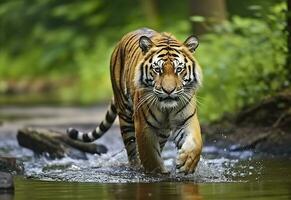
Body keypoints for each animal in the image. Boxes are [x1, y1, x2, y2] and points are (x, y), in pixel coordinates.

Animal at [67, 27, 203, 174]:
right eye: (157, 69)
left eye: (179, 69)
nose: (168, 91)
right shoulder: (144, 126)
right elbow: (151, 156)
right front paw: (158, 172)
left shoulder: (186, 120)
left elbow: (196, 143)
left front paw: (187, 163)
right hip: (126, 117)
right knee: (132, 150)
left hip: (163, 130)